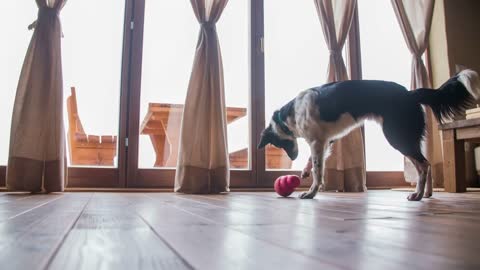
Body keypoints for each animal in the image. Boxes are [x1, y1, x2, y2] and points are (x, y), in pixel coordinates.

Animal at [258, 69, 480, 200]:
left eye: (277, 144)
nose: (292, 157)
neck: (292, 112)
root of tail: (409, 93)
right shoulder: (325, 141)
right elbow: (313, 163)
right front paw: (304, 171)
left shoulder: (316, 142)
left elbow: (318, 171)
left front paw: (311, 192)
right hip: (406, 137)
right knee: (426, 164)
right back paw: (426, 193)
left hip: (397, 136)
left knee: (424, 165)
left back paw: (417, 194)